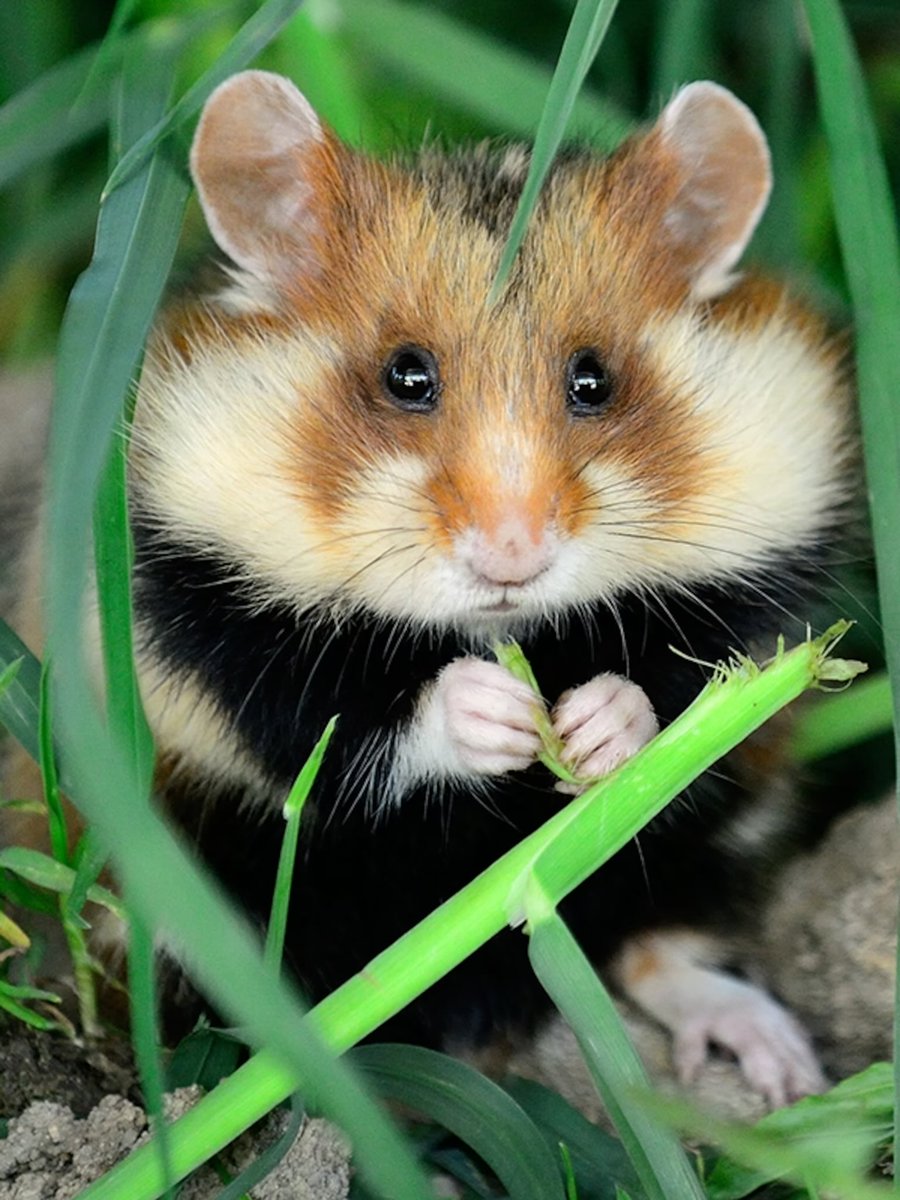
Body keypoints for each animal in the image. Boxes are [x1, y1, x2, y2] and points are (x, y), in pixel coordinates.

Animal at [7, 72, 853, 1106]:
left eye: (594, 380)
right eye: (405, 375)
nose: (512, 558)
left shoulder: (758, 588)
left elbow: (690, 684)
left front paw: (593, 727)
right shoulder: (201, 616)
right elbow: (332, 728)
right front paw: (496, 713)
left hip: (704, 842)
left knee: (654, 939)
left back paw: (782, 1067)